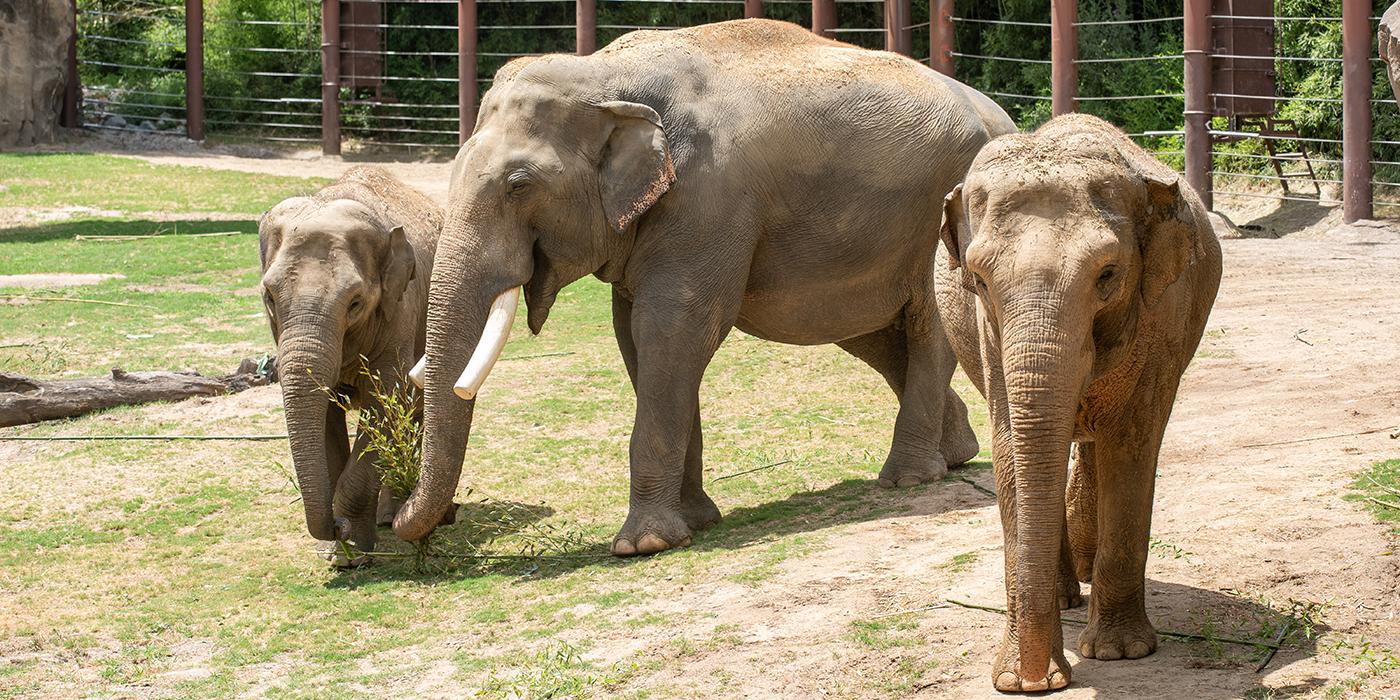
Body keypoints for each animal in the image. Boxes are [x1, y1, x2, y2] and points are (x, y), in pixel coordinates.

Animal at [257, 163, 442, 562]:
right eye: (269, 297)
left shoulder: (400, 309)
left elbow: (386, 399)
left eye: (355, 302)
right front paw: (334, 551)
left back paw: (392, 513)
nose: (335, 526)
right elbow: (324, 414)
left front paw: (352, 553)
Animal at [394, 17, 1019, 557]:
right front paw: (696, 522)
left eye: (519, 184)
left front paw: (643, 545)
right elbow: (635, 339)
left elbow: (674, 330)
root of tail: (1005, 120)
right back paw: (956, 454)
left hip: (940, 217)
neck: (604, 76)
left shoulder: (708, 201)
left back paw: (908, 478)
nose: (403, 520)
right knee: (872, 334)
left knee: (926, 328)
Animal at [935, 112, 1220, 691]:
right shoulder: (989, 334)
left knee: (1095, 442)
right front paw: (1019, 678)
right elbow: (1010, 450)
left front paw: (1120, 653)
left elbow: (1132, 442)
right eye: (978, 280)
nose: (1035, 682)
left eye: (1108, 275)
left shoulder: (1163, 315)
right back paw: (1068, 594)